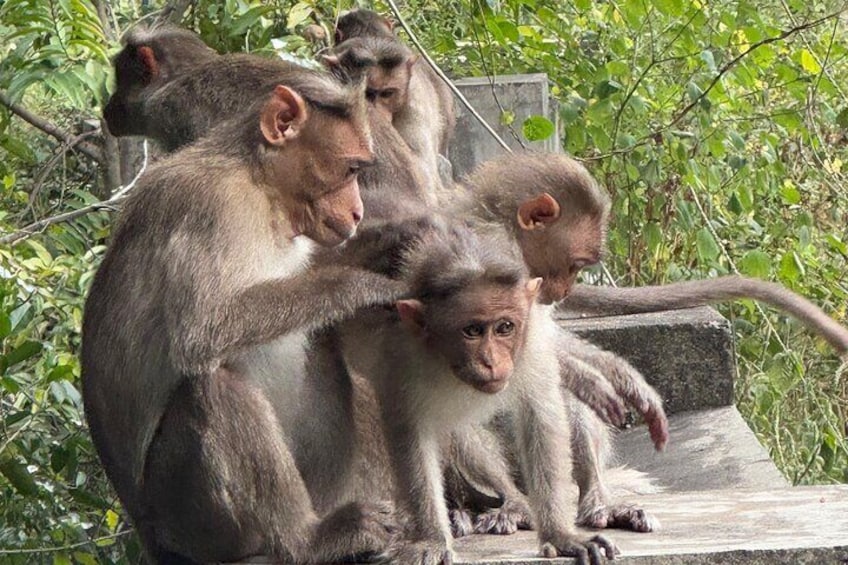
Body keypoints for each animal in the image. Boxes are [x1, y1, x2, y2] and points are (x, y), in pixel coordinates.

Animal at [82, 68, 414, 560]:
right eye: (352, 169)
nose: (357, 212)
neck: (263, 191)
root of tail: (150, 536)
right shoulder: (208, 207)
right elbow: (203, 329)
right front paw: (362, 285)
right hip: (191, 518)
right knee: (211, 385)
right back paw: (307, 539)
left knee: (324, 347)